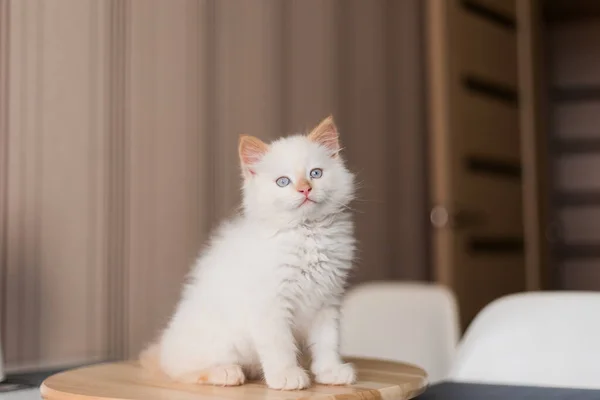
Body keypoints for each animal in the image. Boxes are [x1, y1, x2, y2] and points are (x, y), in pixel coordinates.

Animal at [141, 115, 356, 390]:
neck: (307, 232)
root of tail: (163, 347)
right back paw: (226, 372)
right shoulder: (270, 304)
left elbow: (328, 342)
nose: (305, 189)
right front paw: (286, 376)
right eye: (283, 181)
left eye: (315, 174)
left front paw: (330, 372)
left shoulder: (327, 301)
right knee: (181, 371)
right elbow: (280, 345)